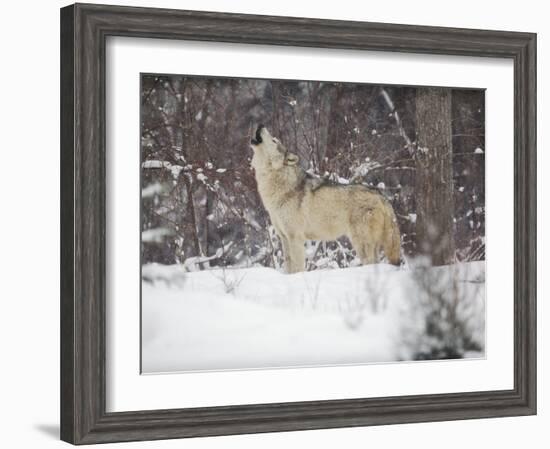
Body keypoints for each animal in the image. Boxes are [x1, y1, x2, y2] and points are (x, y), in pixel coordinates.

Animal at [250, 124, 402, 274]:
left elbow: (297, 268)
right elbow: (288, 268)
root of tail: (381, 196)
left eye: (274, 140)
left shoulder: (295, 238)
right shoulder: (284, 238)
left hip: (361, 244)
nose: (261, 125)